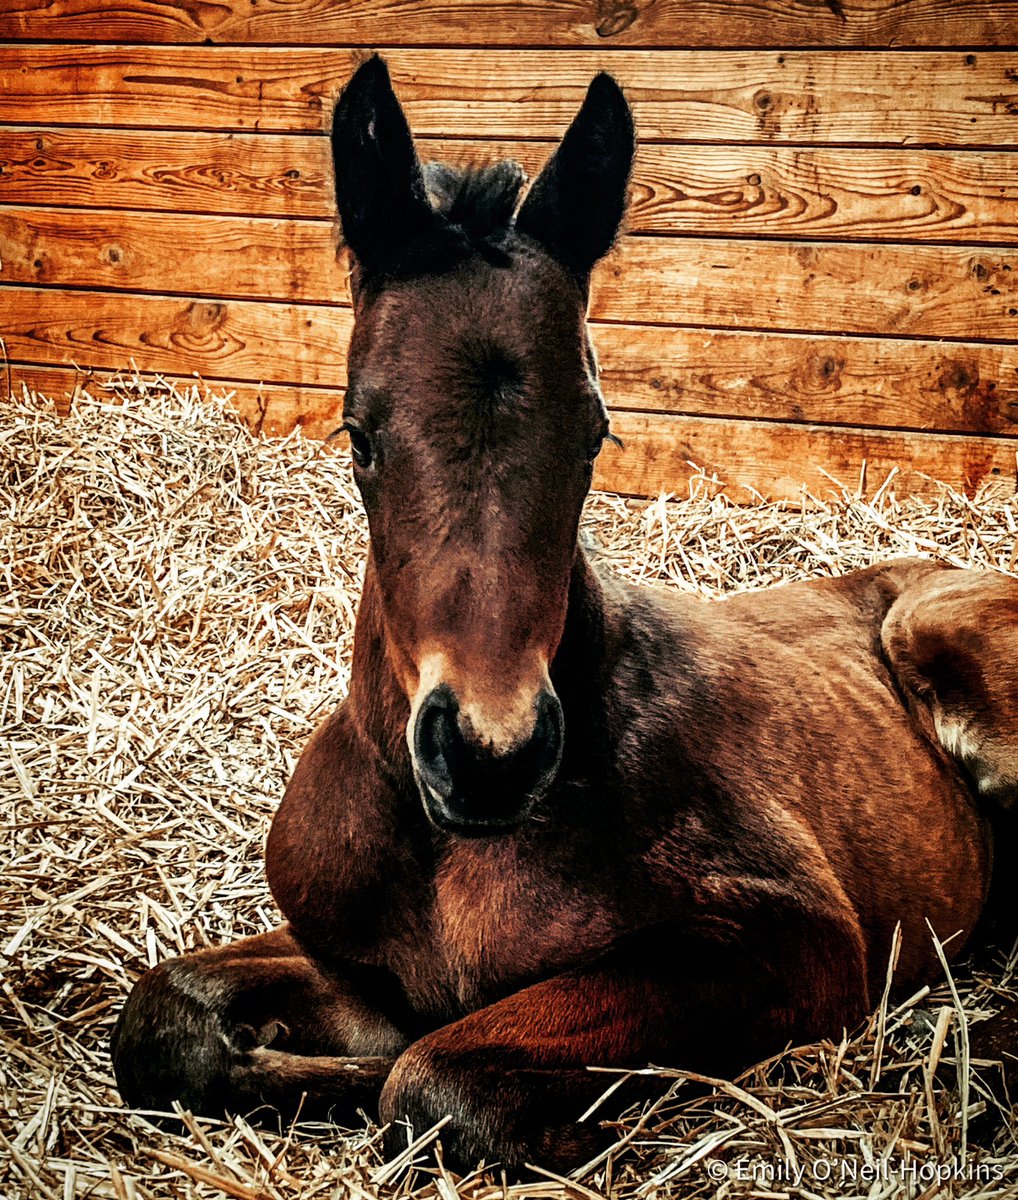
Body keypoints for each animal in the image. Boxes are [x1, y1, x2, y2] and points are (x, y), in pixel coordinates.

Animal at [111, 58, 1017, 1171]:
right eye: (359, 435)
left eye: (595, 435)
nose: (489, 755)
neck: (449, 850)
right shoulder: (352, 961)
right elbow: (166, 1017)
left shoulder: (794, 938)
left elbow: (434, 1080)